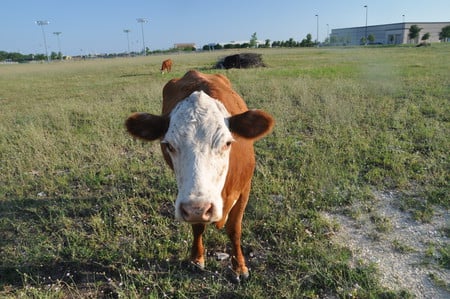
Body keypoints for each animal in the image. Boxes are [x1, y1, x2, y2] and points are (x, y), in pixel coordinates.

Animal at [125, 69, 274, 282]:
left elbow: (234, 230)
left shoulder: (245, 189)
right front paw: (196, 259)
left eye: (227, 143)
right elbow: (197, 227)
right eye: (169, 145)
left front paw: (239, 267)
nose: (199, 208)